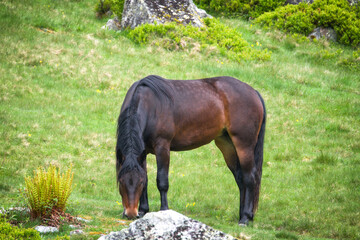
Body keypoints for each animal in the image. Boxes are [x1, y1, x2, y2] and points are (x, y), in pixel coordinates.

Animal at [116, 74, 266, 225]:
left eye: (138, 183)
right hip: (227, 145)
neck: (150, 104)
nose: (130, 213)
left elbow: (162, 181)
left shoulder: (162, 147)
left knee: (249, 178)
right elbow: (146, 177)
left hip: (244, 145)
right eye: (121, 181)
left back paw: (245, 218)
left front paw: (164, 209)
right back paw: (243, 215)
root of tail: (253, 92)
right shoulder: (143, 151)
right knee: (240, 179)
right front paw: (143, 210)